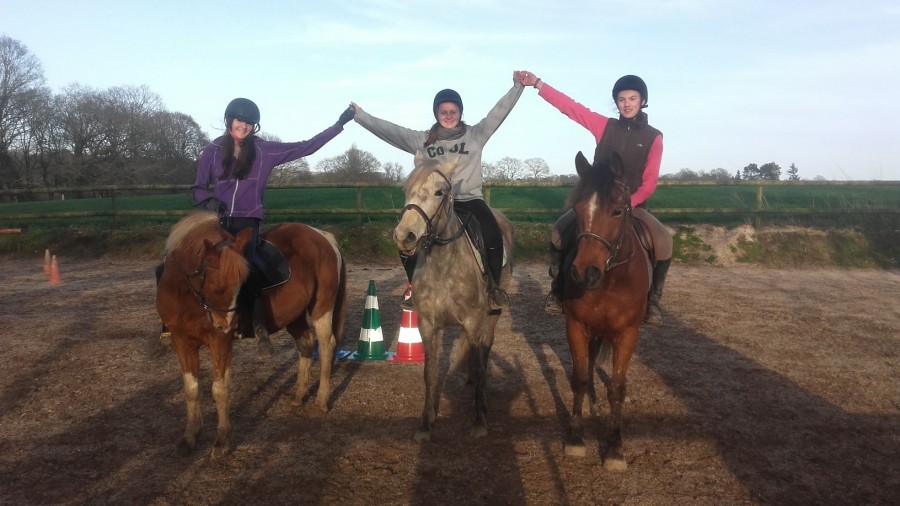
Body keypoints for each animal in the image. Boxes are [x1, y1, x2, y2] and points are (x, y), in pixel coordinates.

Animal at [156, 212, 347, 457]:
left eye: (242, 285)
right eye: (216, 288)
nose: (225, 326)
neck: (187, 294)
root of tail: (323, 236)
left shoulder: (220, 343)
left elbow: (219, 389)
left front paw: (222, 443)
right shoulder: (182, 341)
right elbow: (191, 388)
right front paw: (190, 438)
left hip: (321, 308)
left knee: (325, 345)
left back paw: (321, 399)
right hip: (293, 315)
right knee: (305, 343)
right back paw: (299, 394)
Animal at [394, 151, 514, 441]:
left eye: (439, 191)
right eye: (406, 189)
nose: (405, 236)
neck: (444, 264)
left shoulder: (473, 321)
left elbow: (481, 366)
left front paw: (479, 421)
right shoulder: (427, 325)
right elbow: (430, 372)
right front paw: (426, 423)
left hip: (492, 314)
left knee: (485, 349)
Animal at [560, 151, 651, 470]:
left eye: (618, 211)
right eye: (577, 209)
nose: (584, 273)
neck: (609, 279)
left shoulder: (627, 335)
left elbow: (617, 389)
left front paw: (614, 448)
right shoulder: (575, 326)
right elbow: (579, 378)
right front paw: (575, 438)